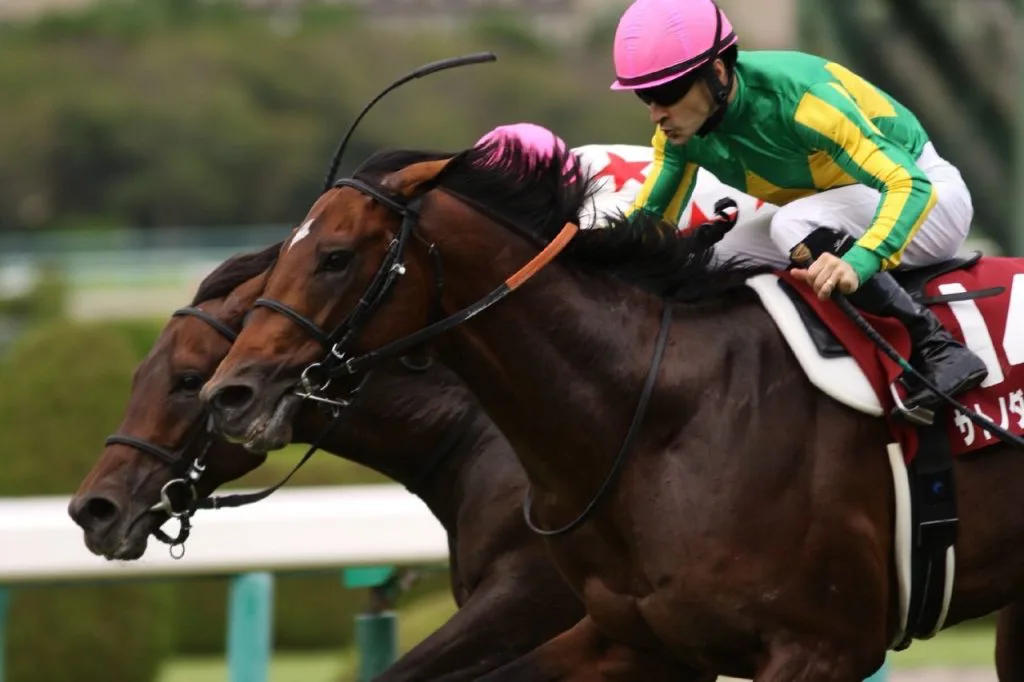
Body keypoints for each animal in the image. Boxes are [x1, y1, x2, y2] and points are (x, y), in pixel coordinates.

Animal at [198, 137, 1024, 681]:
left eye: (335, 256)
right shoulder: (636, 638)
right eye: (285, 253)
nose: (231, 393)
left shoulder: (821, 647)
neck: (663, 414)